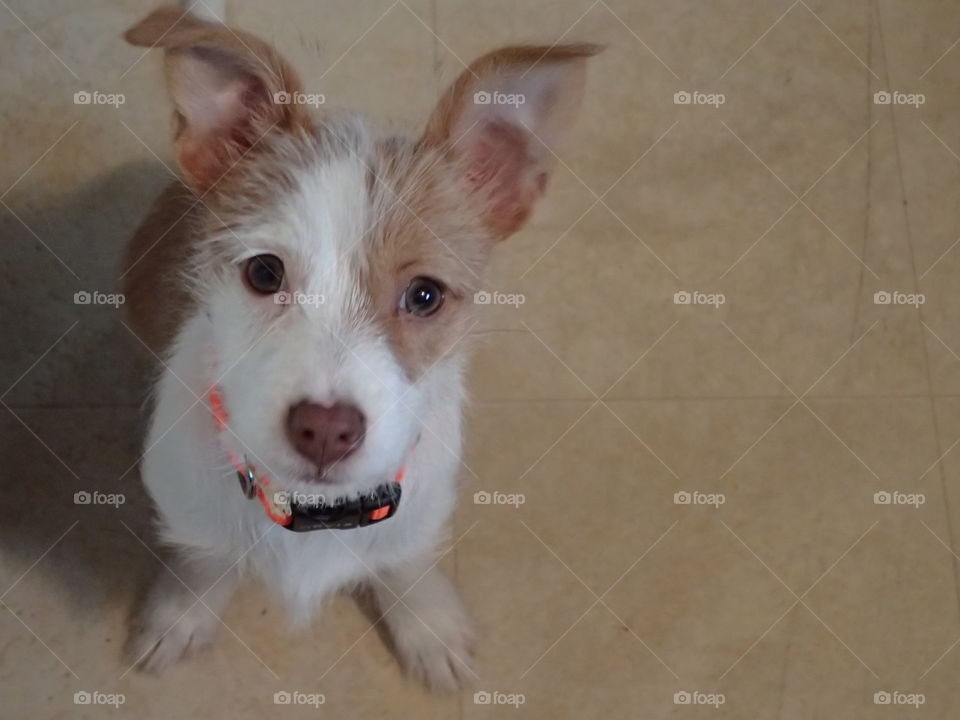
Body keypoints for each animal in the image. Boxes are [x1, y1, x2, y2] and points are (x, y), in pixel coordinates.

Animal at [120, 4, 592, 692]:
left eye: (424, 295)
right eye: (264, 272)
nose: (324, 430)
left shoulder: (415, 517)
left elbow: (406, 561)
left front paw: (428, 623)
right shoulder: (190, 512)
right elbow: (206, 560)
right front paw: (182, 612)